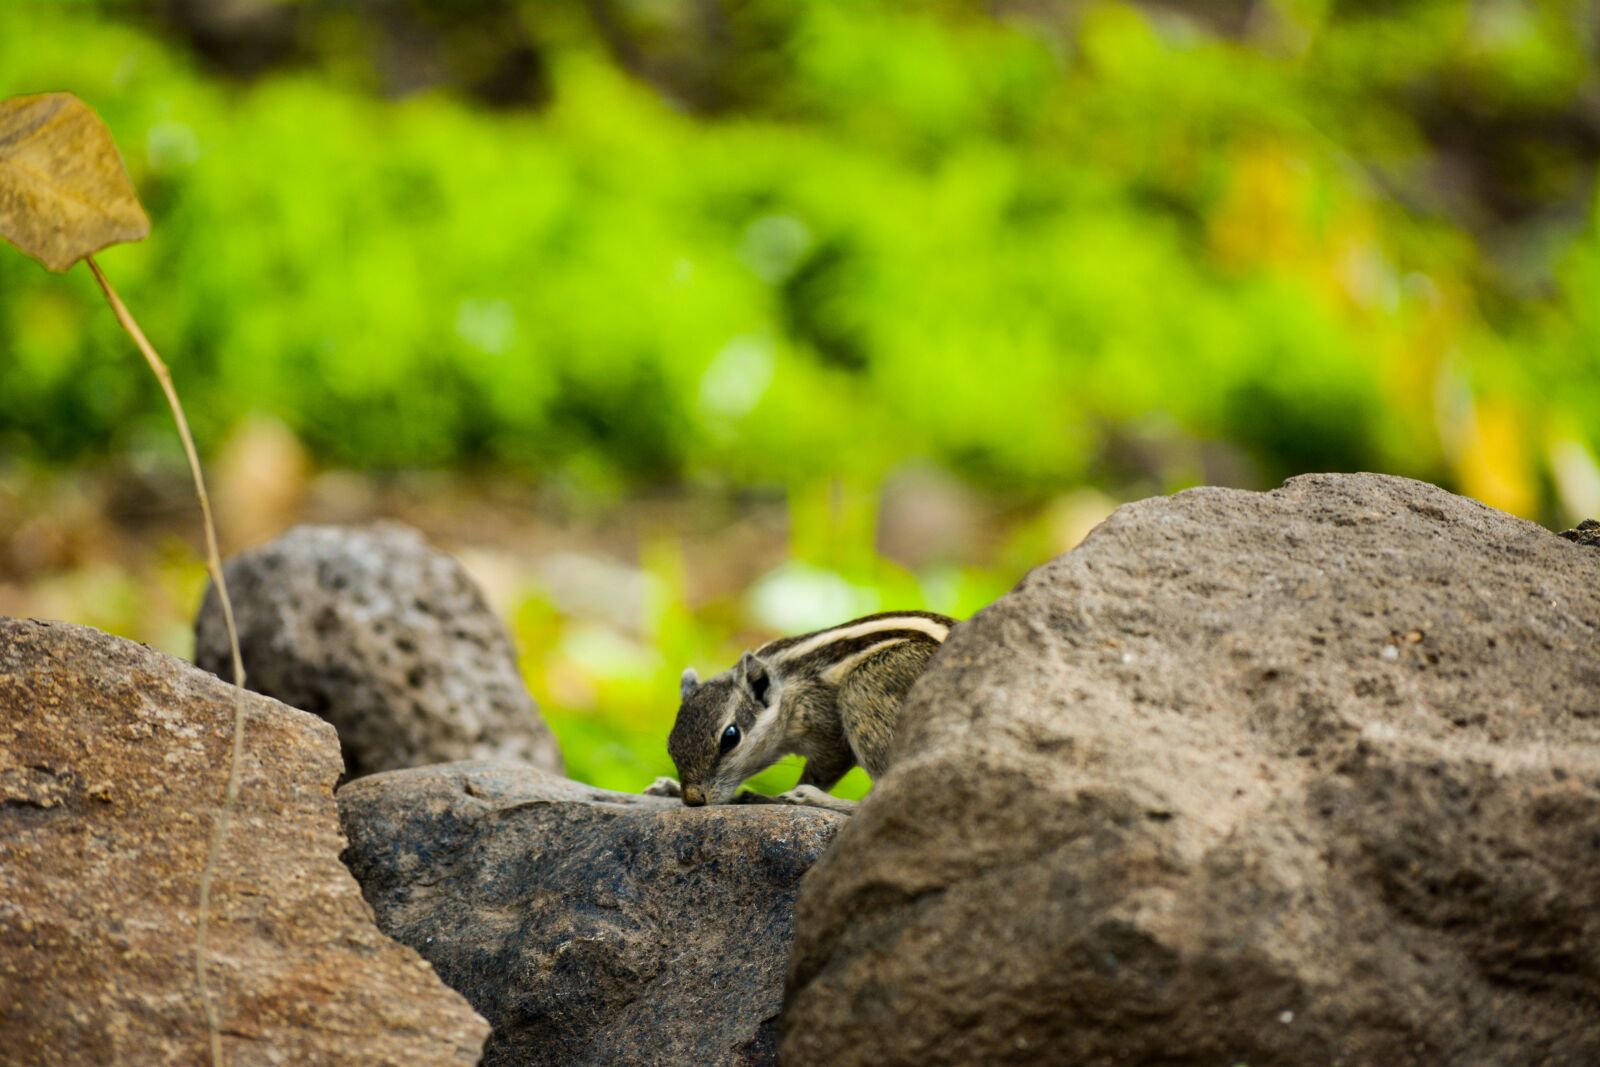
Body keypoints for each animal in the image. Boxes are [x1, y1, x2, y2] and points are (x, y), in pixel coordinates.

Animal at [645, 611, 956, 813]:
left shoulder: (827, 732)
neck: (787, 689)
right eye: (671, 746)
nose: (693, 799)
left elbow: (823, 767)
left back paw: (810, 798)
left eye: (730, 737)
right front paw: (668, 787)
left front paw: (768, 797)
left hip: (865, 686)